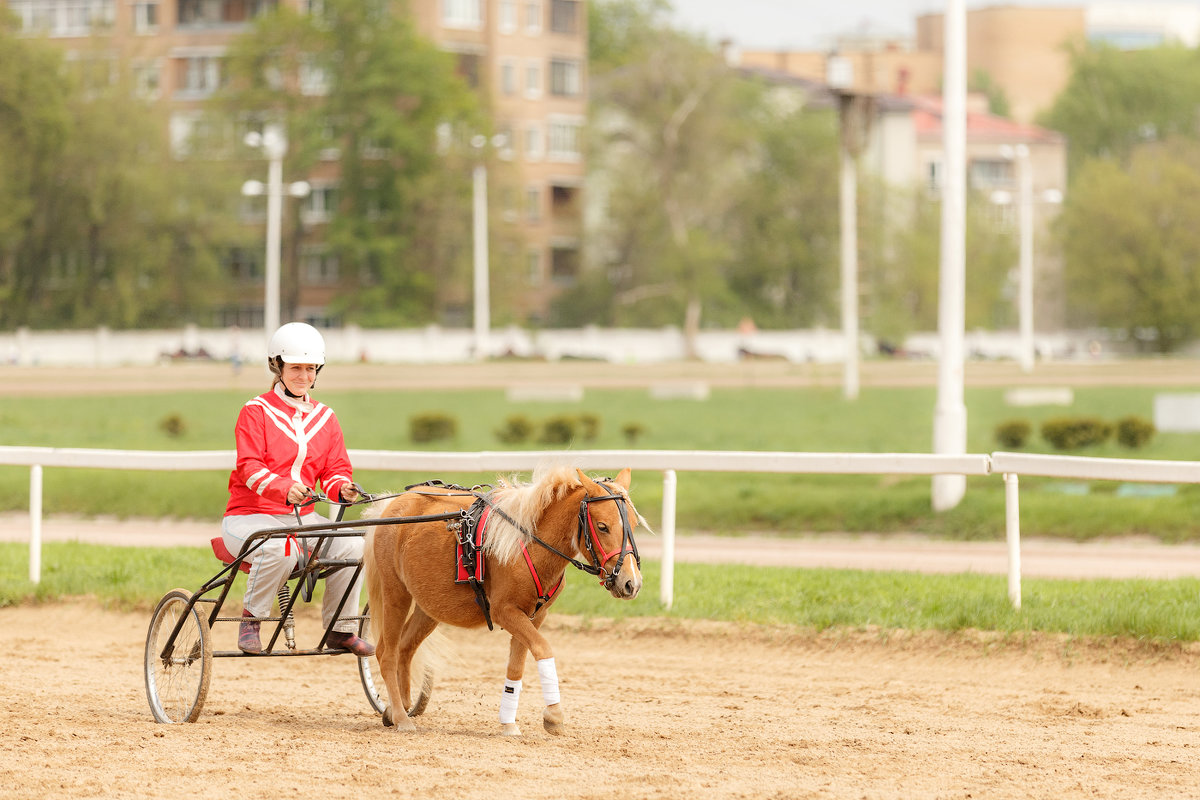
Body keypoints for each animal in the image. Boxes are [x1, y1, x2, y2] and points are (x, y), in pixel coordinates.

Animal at [362, 465, 648, 734]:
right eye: (602, 526)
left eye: (633, 525)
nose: (630, 583)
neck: (529, 543)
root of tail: (393, 504)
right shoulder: (505, 611)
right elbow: (543, 648)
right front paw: (554, 715)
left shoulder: (534, 615)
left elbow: (516, 667)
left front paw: (509, 723)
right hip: (395, 592)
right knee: (386, 653)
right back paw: (401, 717)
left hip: (429, 606)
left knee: (405, 648)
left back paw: (396, 708)